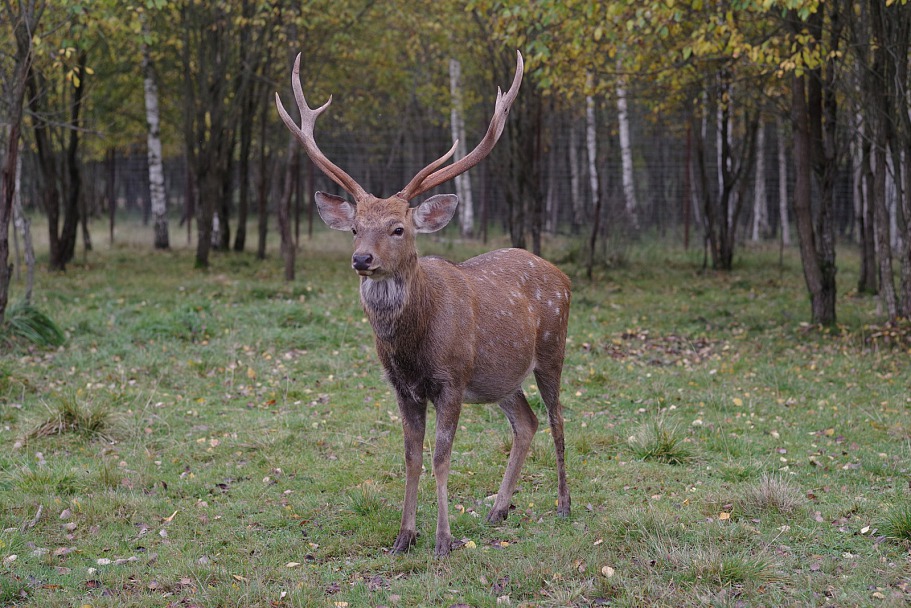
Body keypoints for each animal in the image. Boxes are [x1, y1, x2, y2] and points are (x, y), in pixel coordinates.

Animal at [274, 51, 568, 556]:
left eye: (399, 228)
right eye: (355, 228)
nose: (362, 259)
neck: (413, 346)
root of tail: (563, 276)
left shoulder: (451, 378)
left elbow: (440, 457)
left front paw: (443, 540)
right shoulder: (402, 387)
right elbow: (411, 456)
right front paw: (404, 536)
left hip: (551, 348)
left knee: (557, 420)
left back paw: (565, 505)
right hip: (499, 377)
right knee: (526, 422)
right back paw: (498, 509)